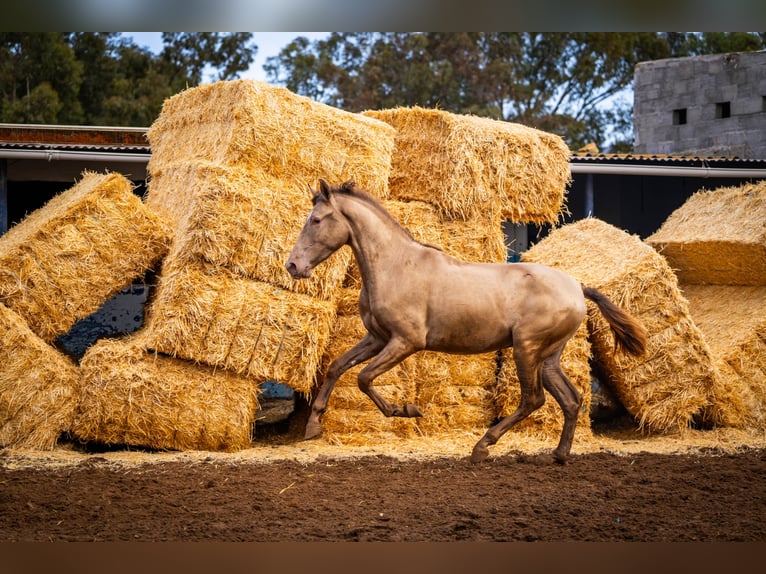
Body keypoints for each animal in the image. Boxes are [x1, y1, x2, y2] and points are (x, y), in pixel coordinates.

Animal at [288, 182, 648, 466]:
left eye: (316, 220)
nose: (293, 265)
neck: (395, 266)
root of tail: (577, 287)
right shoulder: (376, 337)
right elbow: (337, 367)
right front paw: (313, 427)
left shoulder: (406, 341)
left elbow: (363, 378)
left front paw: (405, 410)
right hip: (548, 357)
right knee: (571, 400)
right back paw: (558, 455)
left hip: (526, 349)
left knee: (533, 400)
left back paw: (482, 447)